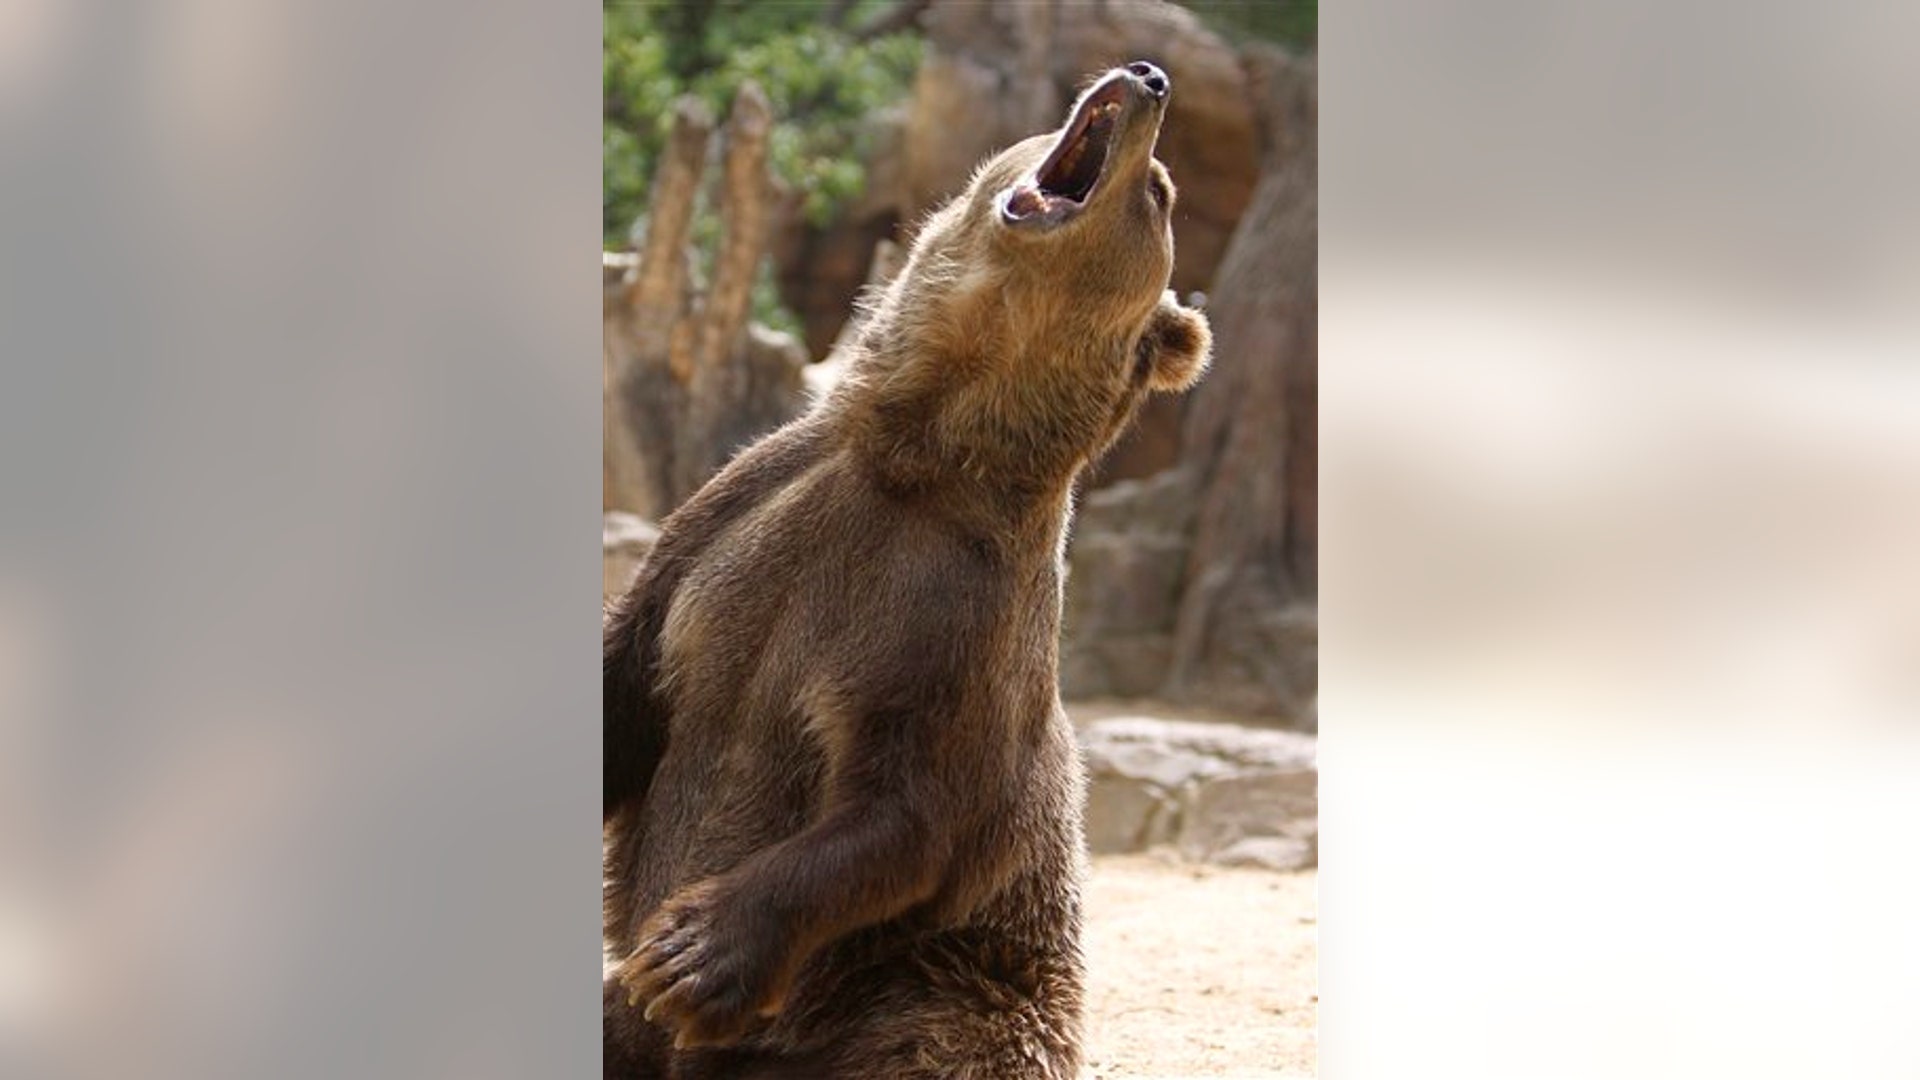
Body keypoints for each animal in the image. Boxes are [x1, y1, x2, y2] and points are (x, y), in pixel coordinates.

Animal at [603, 60, 1210, 1080]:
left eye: (1159, 193)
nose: (1150, 76)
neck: (920, 455)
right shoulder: (728, 525)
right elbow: (634, 669)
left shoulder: (949, 617)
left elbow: (906, 812)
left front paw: (690, 955)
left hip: (920, 988)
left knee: (941, 1036)